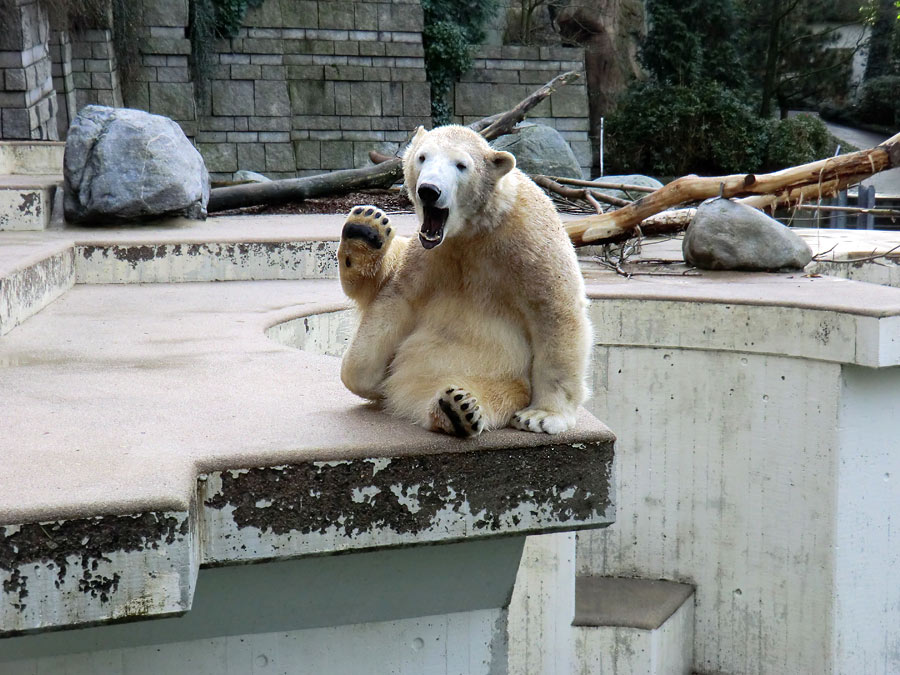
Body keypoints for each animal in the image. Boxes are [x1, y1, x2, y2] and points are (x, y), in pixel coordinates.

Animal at [338, 123, 592, 436]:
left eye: (461, 165)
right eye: (422, 157)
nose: (429, 191)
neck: (472, 229)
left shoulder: (530, 242)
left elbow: (555, 311)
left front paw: (542, 416)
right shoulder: (429, 257)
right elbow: (396, 299)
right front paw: (364, 369)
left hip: (499, 378)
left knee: (493, 390)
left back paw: (459, 408)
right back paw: (364, 231)